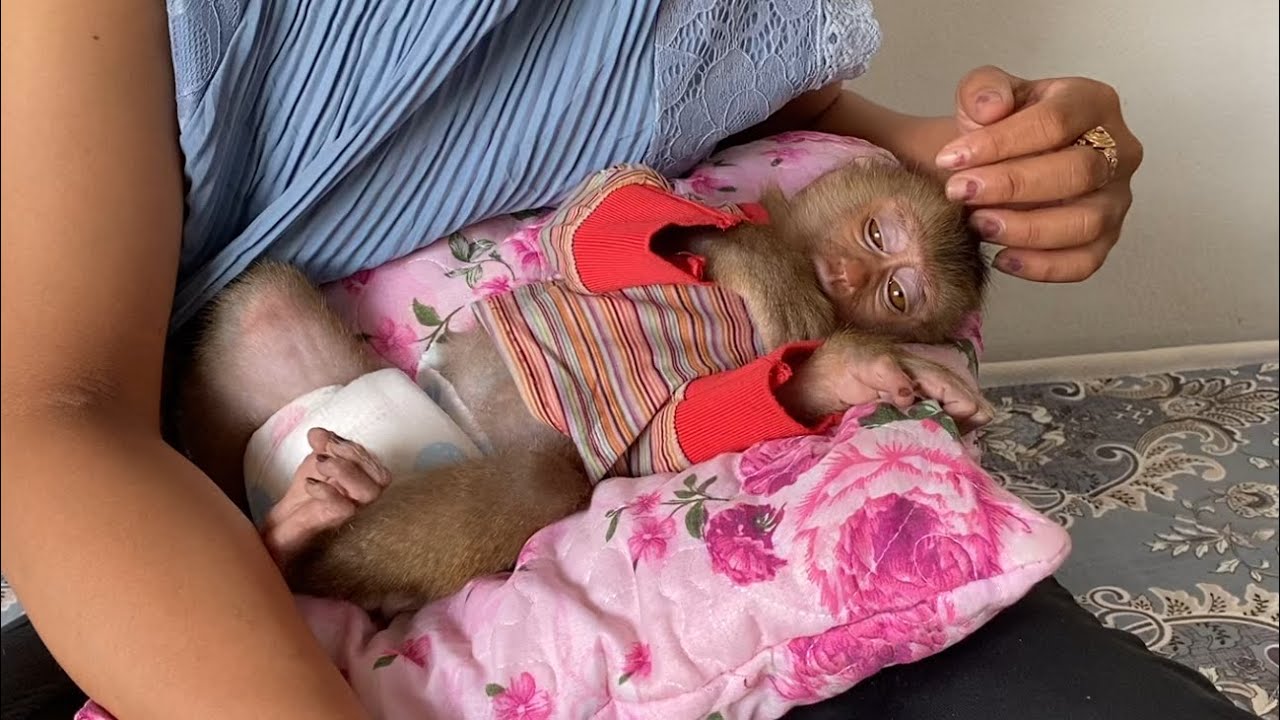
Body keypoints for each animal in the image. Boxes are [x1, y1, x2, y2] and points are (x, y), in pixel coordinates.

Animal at [179, 159, 993, 612]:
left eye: (899, 294)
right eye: (878, 235)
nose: (851, 275)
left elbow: (673, 433)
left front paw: (847, 368)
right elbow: (600, 215)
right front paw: (754, 257)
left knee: (539, 481)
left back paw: (294, 528)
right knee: (266, 302)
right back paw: (283, 531)